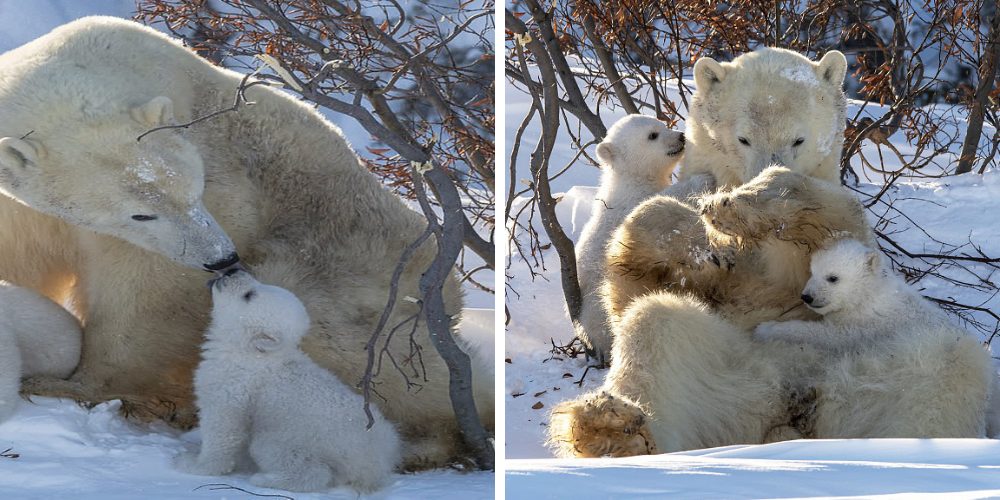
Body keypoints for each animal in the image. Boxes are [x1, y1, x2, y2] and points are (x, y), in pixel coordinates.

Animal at [176, 270, 398, 492]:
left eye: (249, 295)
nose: (233, 271)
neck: (251, 352)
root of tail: (372, 464)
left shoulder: (231, 388)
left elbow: (223, 428)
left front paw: (196, 466)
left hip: (294, 437)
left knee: (307, 467)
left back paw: (265, 479)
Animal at [572, 114, 688, 364]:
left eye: (661, 124)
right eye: (652, 135)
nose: (681, 137)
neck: (633, 180)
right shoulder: (634, 207)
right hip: (599, 311)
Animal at [752, 240, 996, 440]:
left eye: (833, 277)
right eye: (813, 271)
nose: (807, 297)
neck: (871, 294)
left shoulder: (870, 323)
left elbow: (832, 335)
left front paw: (766, 329)